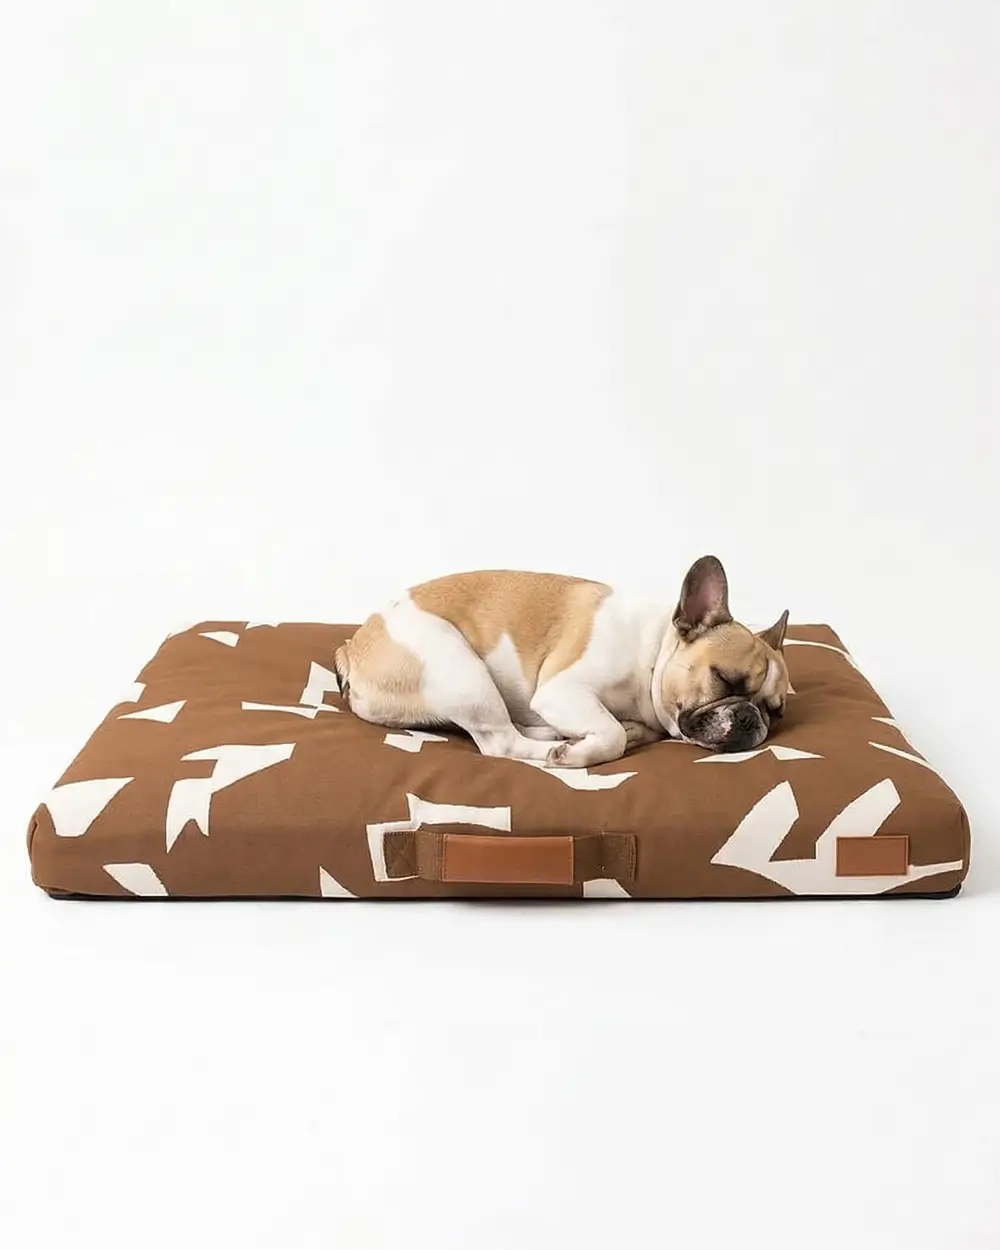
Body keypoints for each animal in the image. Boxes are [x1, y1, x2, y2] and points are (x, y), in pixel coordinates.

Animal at [334, 555, 790, 767]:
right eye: (724, 680)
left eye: (775, 710)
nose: (750, 717)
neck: (651, 655)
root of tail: (351, 648)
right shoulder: (562, 691)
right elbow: (612, 735)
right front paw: (582, 751)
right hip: (459, 667)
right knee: (501, 742)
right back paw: (557, 748)